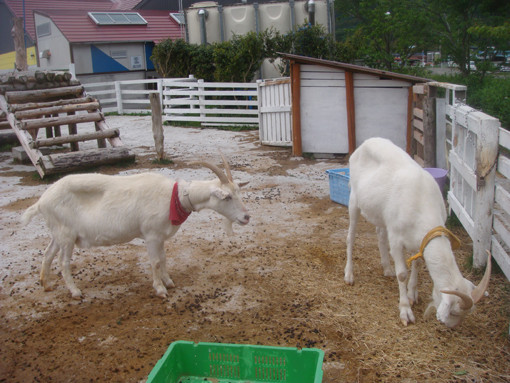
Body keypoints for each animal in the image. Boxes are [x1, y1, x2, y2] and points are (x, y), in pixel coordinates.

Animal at [21, 154, 249, 302]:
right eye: (227, 197)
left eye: (237, 192)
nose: (246, 217)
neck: (174, 197)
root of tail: (42, 201)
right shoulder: (151, 235)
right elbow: (155, 262)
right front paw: (160, 289)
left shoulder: (160, 236)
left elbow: (163, 258)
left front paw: (169, 281)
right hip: (67, 235)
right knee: (63, 262)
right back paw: (75, 292)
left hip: (58, 232)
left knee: (48, 253)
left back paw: (46, 284)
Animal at [342, 136, 490, 328]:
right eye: (454, 312)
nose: (450, 326)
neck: (422, 202)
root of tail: (366, 142)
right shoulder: (396, 240)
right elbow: (402, 274)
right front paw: (405, 310)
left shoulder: (419, 240)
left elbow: (418, 264)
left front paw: (413, 294)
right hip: (354, 200)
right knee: (350, 238)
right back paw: (349, 274)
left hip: (381, 214)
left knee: (380, 235)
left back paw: (387, 268)